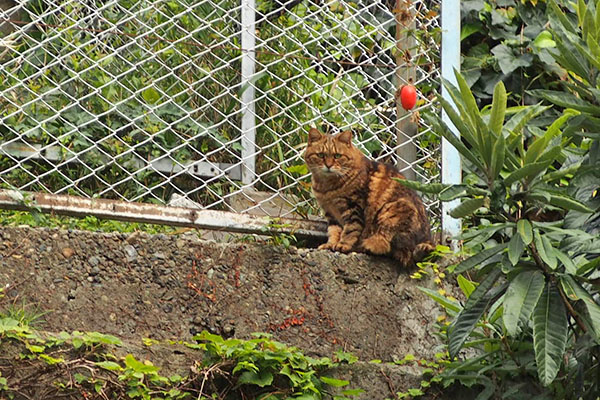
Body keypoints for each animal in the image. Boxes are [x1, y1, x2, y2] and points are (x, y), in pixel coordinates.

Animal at [302, 128, 434, 268]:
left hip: (391, 211)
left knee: (389, 247)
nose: (328, 165)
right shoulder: (330, 213)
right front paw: (330, 244)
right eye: (321, 155)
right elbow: (334, 231)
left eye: (337, 156)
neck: (326, 187)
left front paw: (343, 245)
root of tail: (429, 240)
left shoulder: (353, 207)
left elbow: (350, 230)